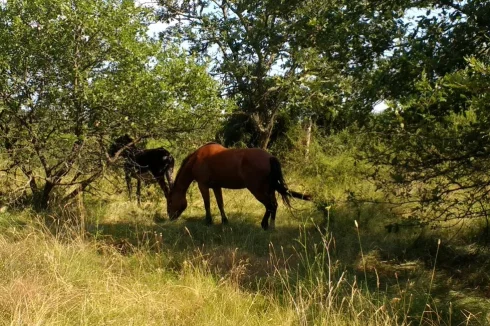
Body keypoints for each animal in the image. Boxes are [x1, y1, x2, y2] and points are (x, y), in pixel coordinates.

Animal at [167, 143, 312, 229]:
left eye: (170, 201)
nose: (170, 217)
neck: (198, 159)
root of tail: (270, 157)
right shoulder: (216, 186)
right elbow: (220, 203)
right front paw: (224, 221)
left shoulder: (203, 185)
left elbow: (207, 204)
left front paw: (208, 221)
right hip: (268, 189)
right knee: (274, 205)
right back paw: (271, 226)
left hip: (257, 190)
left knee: (270, 206)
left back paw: (264, 225)